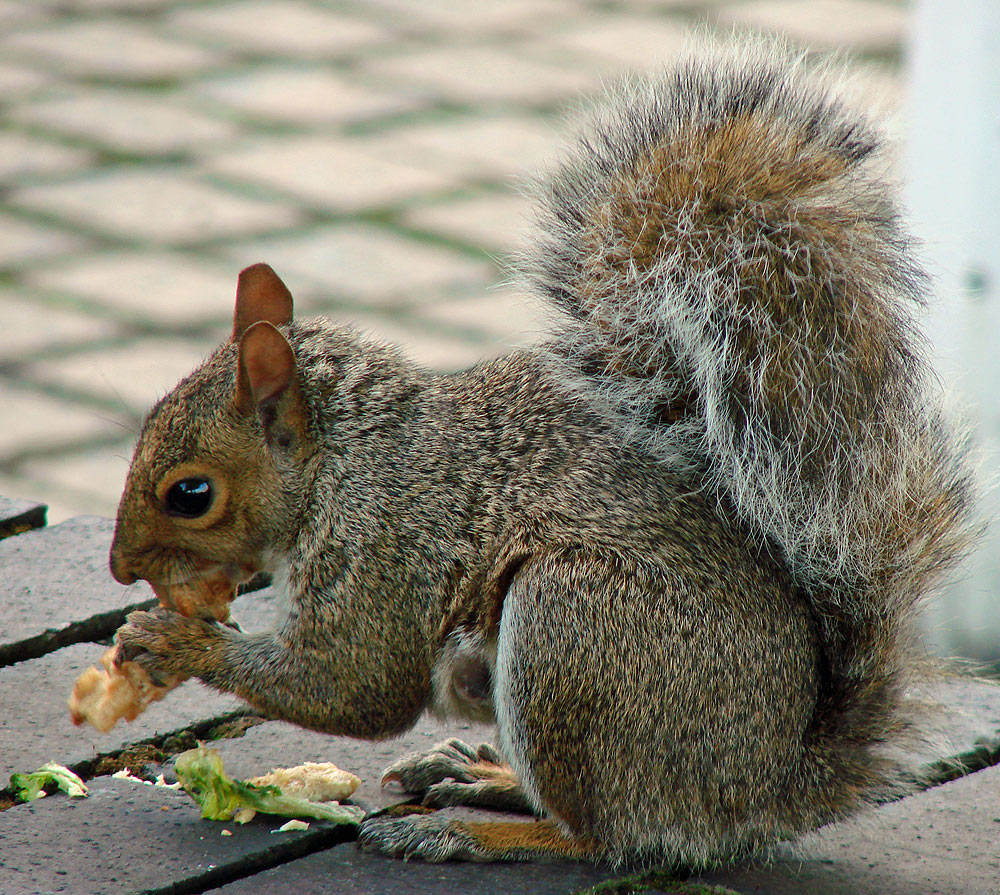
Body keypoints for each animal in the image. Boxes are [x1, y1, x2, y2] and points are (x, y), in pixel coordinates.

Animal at [111, 40, 976, 868]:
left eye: (191, 493)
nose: (121, 568)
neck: (343, 458)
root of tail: (765, 787)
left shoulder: (383, 550)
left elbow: (352, 686)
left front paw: (173, 641)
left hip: (576, 635)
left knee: (607, 835)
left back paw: (471, 832)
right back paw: (480, 775)